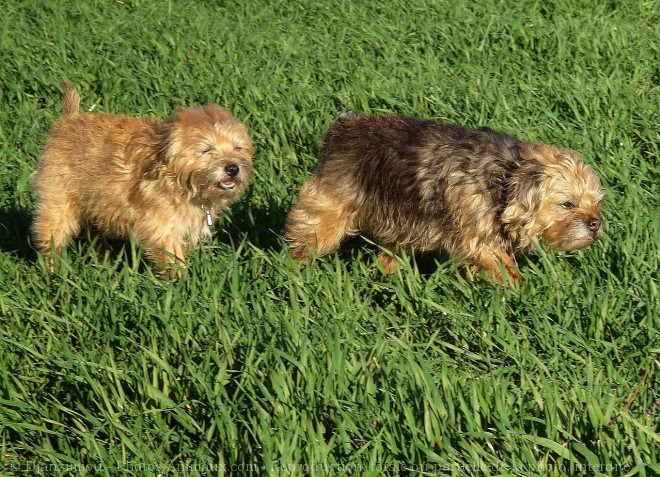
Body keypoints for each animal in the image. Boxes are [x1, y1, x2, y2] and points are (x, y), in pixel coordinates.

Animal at [32, 82, 255, 276]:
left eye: (238, 148)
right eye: (206, 150)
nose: (232, 168)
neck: (179, 180)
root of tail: (69, 118)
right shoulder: (163, 229)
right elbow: (173, 260)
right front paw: (182, 287)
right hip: (57, 205)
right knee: (52, 239)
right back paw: (53, 274)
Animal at [284, 112, 604, 282]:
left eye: (597, 203)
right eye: (568, 204)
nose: (596, 223)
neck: (506, 179)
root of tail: (339, 129)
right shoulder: (476, 239)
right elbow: (504, 265)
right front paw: (523, 289)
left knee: (388, 257)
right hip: (324, 217)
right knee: (303, 245)